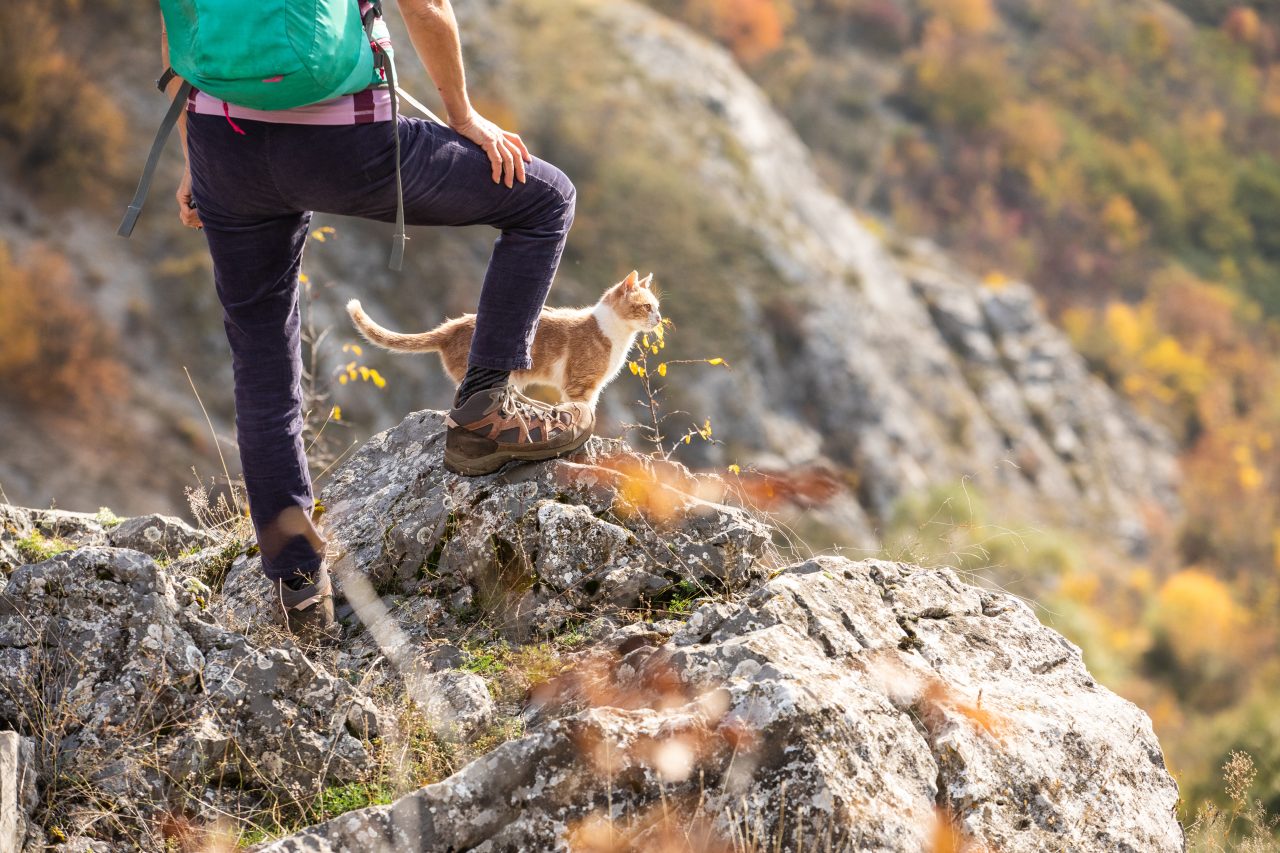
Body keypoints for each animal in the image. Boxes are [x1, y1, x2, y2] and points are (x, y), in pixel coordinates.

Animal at [345, 270, 665, 407]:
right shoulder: (581, 384)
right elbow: (581, 410)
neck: (616, 335)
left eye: (657, 307)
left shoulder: (591, 386)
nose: (660, 319)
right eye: (647, 307)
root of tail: (453, 325)